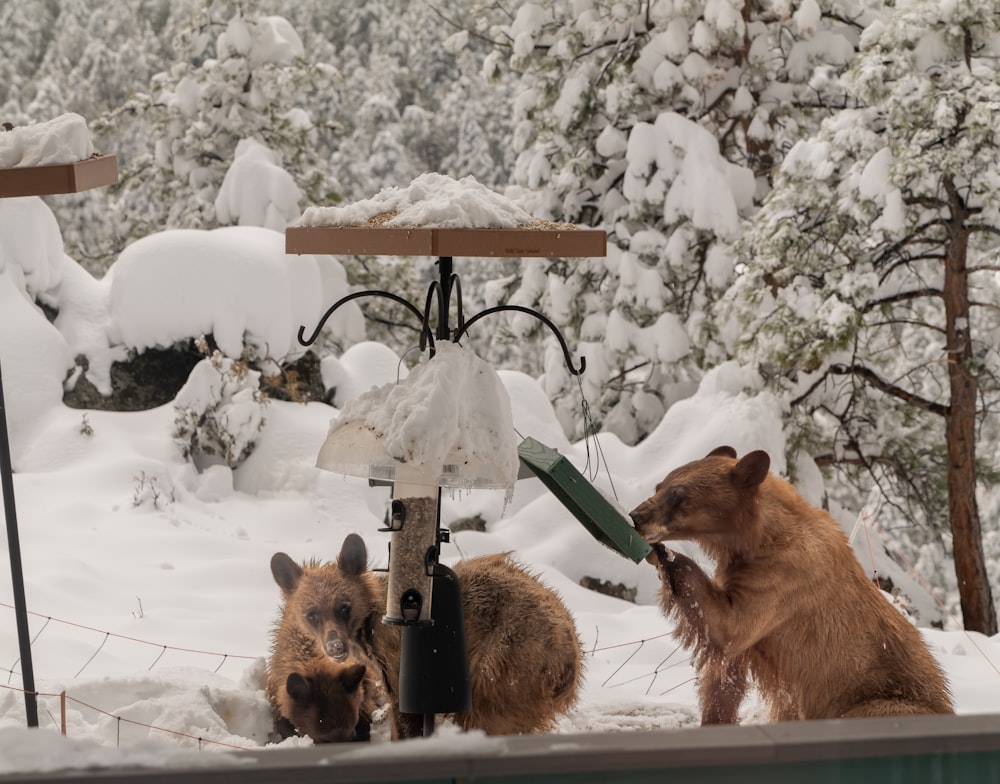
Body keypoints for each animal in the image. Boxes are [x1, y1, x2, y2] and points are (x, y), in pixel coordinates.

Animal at [632, 448, 952, 724]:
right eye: (659, 486)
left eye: (678, 493)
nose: (636, 516)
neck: (757, 539)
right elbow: (724, 677)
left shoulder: (785, 578)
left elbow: (730, 627)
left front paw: (666, 555)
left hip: (882, 699)